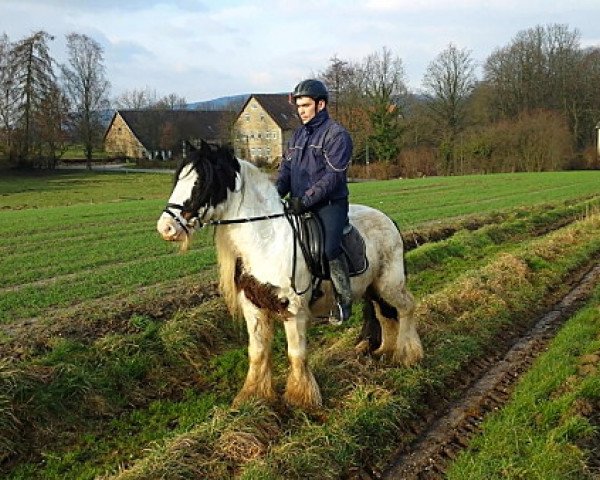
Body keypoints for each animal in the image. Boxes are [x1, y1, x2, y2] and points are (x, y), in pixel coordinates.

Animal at [157, 142, 424, 408]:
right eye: (178, 179)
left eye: (202, 182)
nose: (165, 228)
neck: (267, 239)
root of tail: (388, 219)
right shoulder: (253, 308)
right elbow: (257, 352)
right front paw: (253, 395)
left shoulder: (293, 309)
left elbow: (296, 353)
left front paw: (301, 398)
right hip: (374, 287)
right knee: (384, 314)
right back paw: (385, 352)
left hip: (390, 284)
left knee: (406, 308)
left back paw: (408, 354)